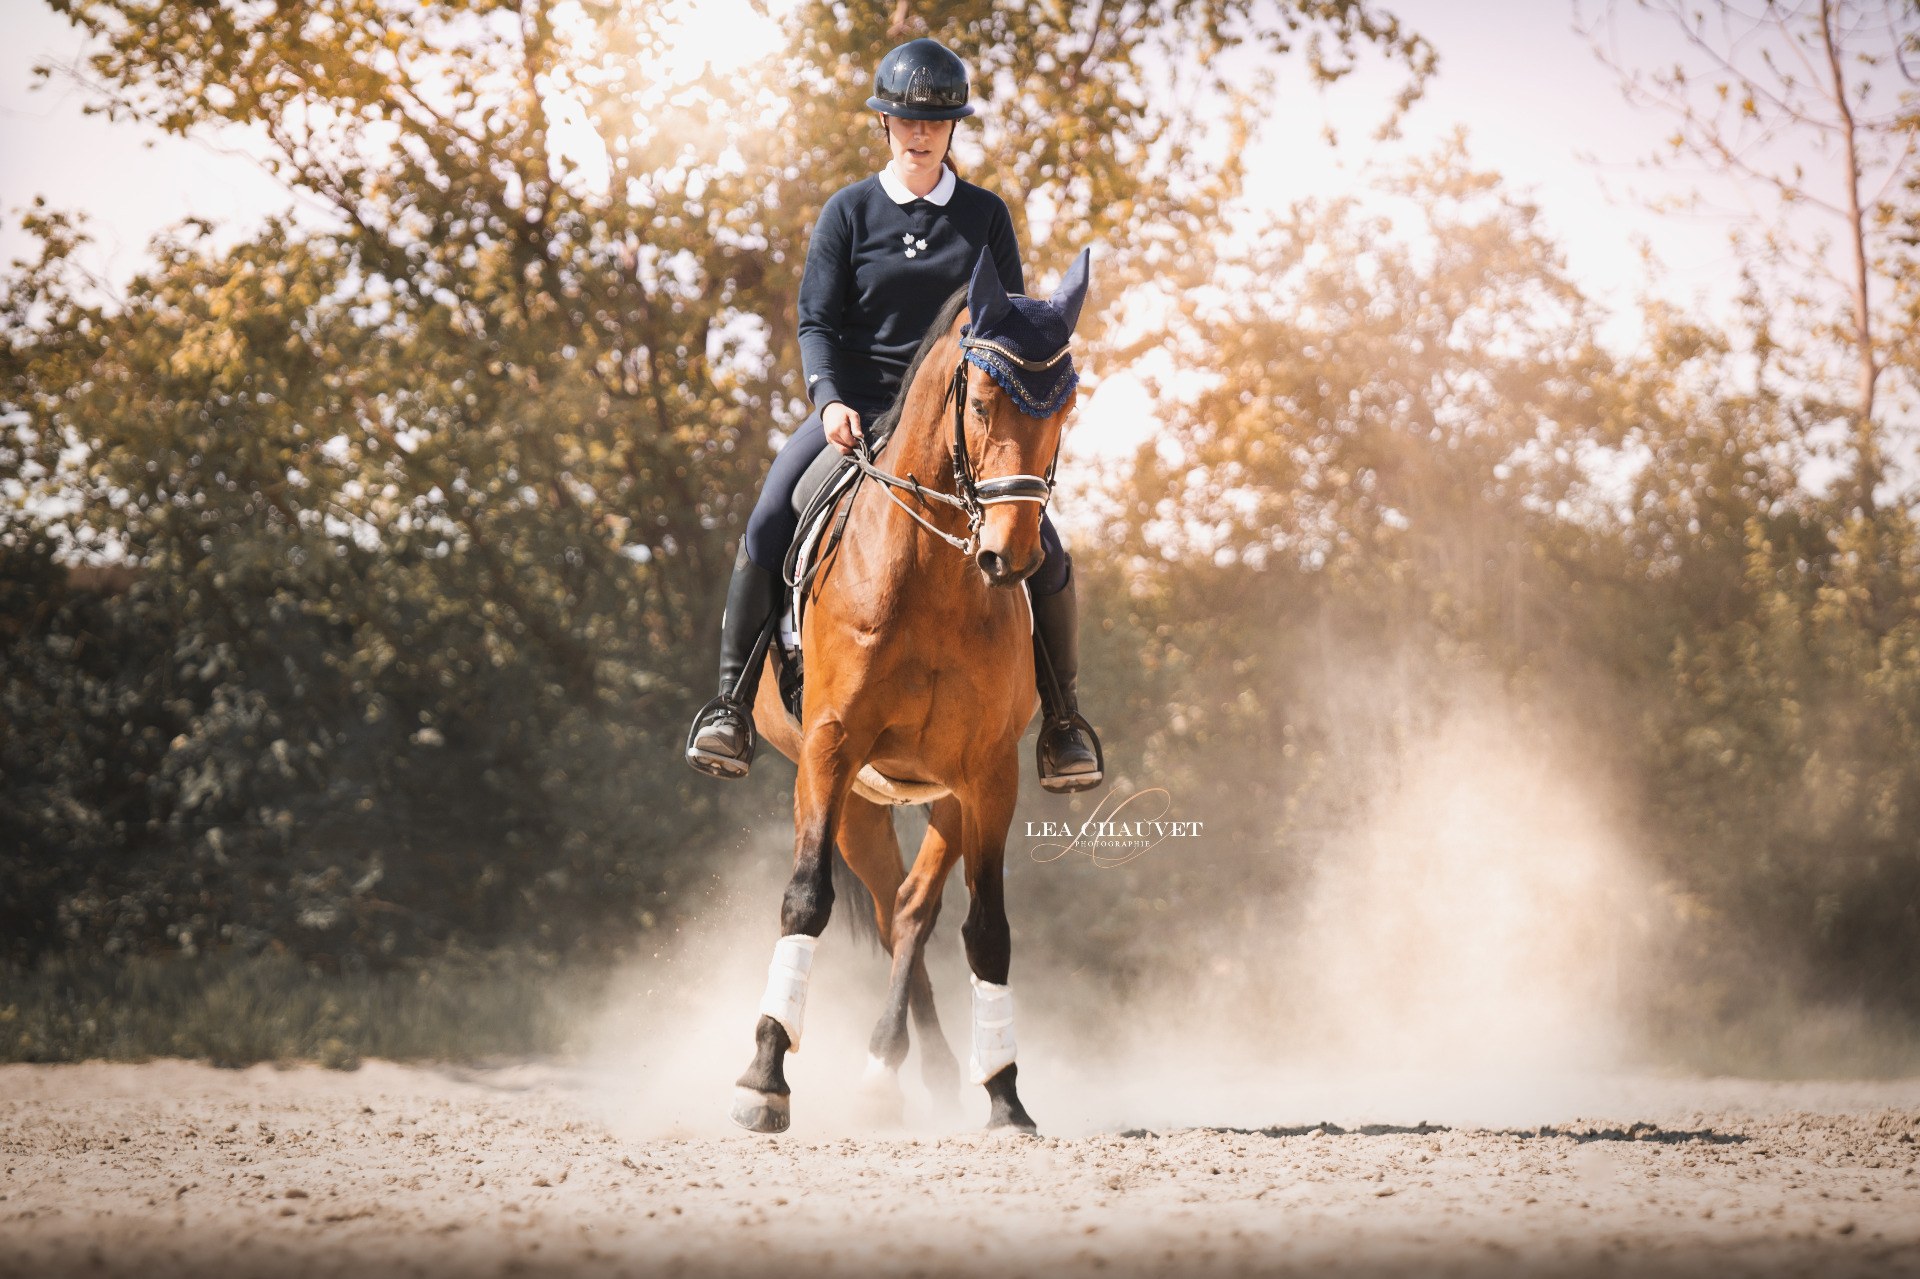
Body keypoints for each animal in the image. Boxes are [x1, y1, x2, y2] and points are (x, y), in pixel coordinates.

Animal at [728, 246, 1091, 1136]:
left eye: (1066, 407)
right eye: (984, 402)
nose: (1011, 557)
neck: (933, 575)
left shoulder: (989, 772)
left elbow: (985, 927)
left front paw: (1005, 1094)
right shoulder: (830, 750)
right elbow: (805, 899)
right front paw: (764, 1078)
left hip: (944, 794)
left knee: (910, 908)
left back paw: (902, 1069)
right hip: (852, 796)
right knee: (884, 901)